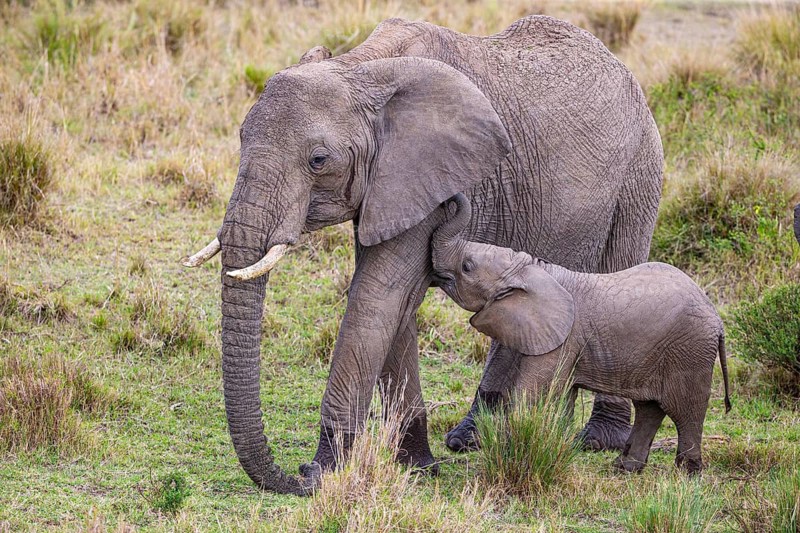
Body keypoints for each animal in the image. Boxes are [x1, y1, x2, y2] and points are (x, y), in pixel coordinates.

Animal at [182, 15, 664, 494]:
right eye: (240, 137)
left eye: (318, 160)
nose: (295, 476)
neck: (359, 68)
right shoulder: (391, 187)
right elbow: (395, 306)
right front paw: (417, 465)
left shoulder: (427, 172)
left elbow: (377, 297)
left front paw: (326, 470)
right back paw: (469, 437)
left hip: (640, 171)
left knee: (620, 272)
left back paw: (598, 439)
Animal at [431, 193, 732, 473]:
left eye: (467, 266)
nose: (450, 197)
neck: (533, 269)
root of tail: (717, 321)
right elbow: (562, 397)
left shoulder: (563, 340)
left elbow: (533, 392)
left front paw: (511, 451)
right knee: (649, 408)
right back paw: (624, 468)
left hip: (690, 351)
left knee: (686, 412)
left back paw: (686, 473)